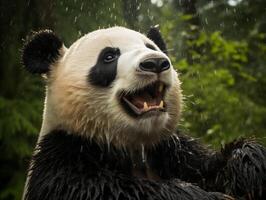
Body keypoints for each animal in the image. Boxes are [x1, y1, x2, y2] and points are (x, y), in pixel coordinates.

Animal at [21, 26, 266, 200]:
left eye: (151, 47)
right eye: (109, 57)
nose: (155, 62)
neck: (133, 146)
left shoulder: (171, 149)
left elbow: (208, 166)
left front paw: (249, 168)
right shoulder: (62, 159)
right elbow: (112, 191)